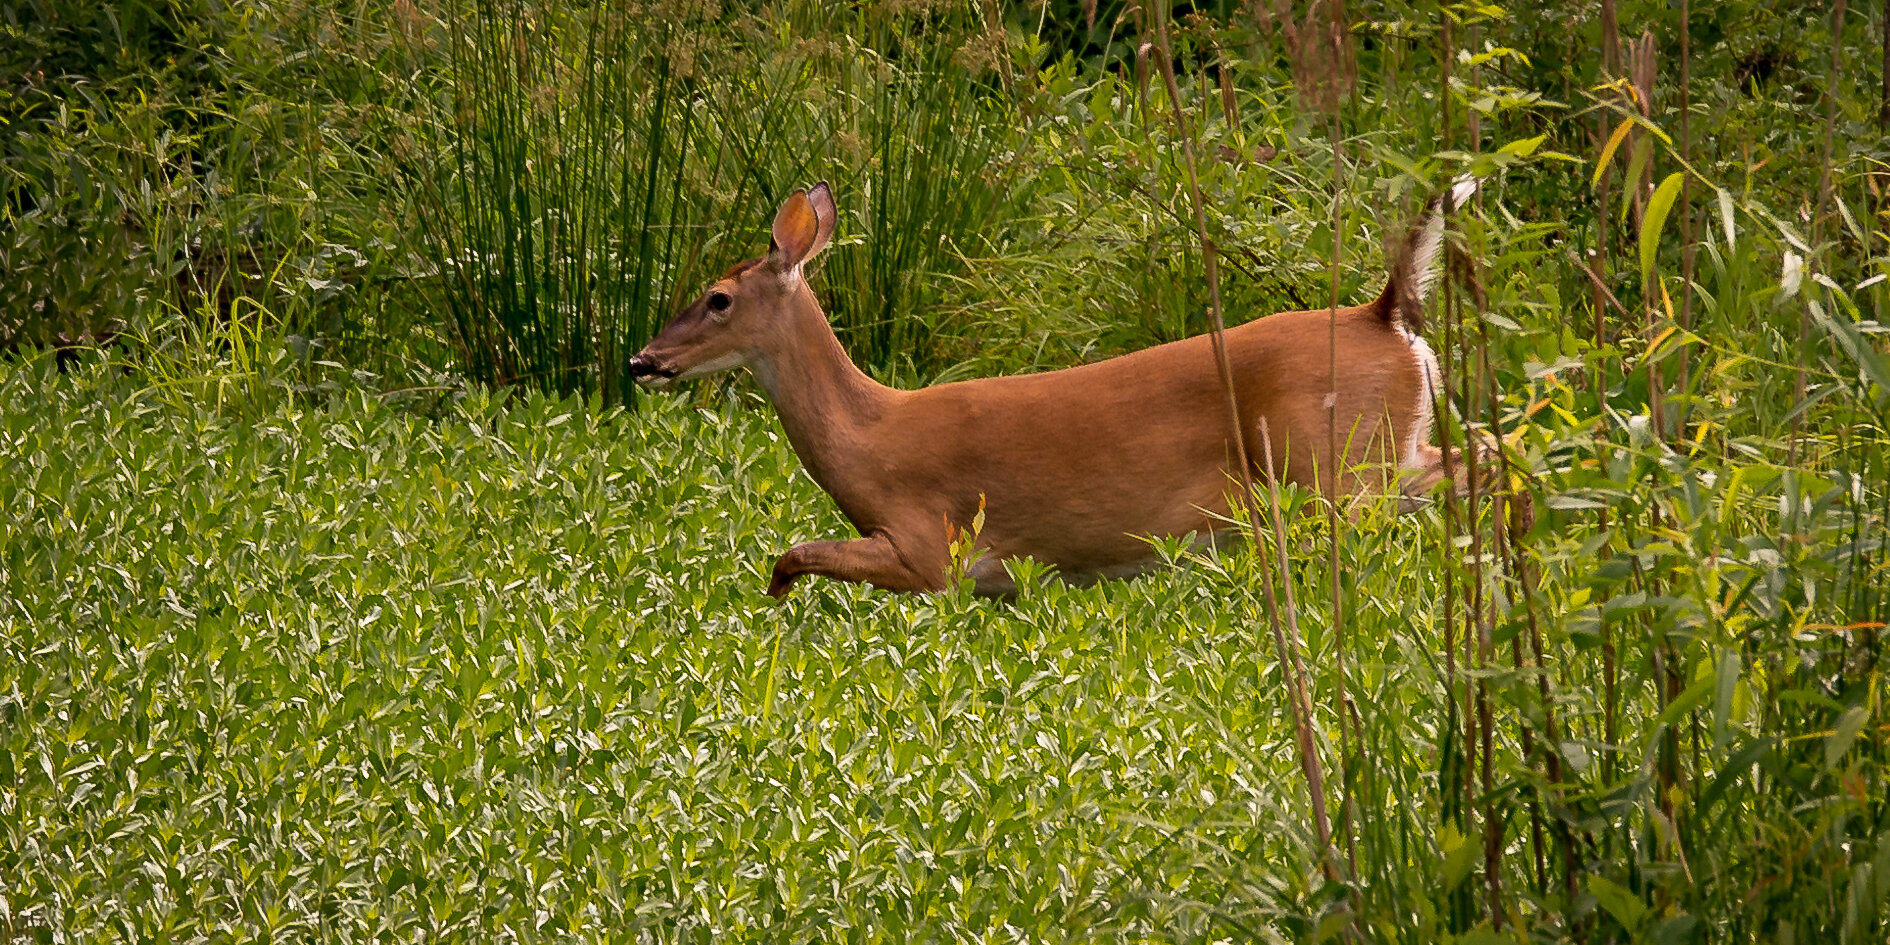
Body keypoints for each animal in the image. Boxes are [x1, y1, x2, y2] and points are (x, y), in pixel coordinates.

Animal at [627, 178, 1481, 597]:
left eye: (717, 298)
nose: (641, 360)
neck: (868, 437)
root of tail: (1382, 313)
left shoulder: (928, 548)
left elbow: (796, 550)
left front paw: (770, 600)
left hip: (1338, 467)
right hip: (1390, 452)